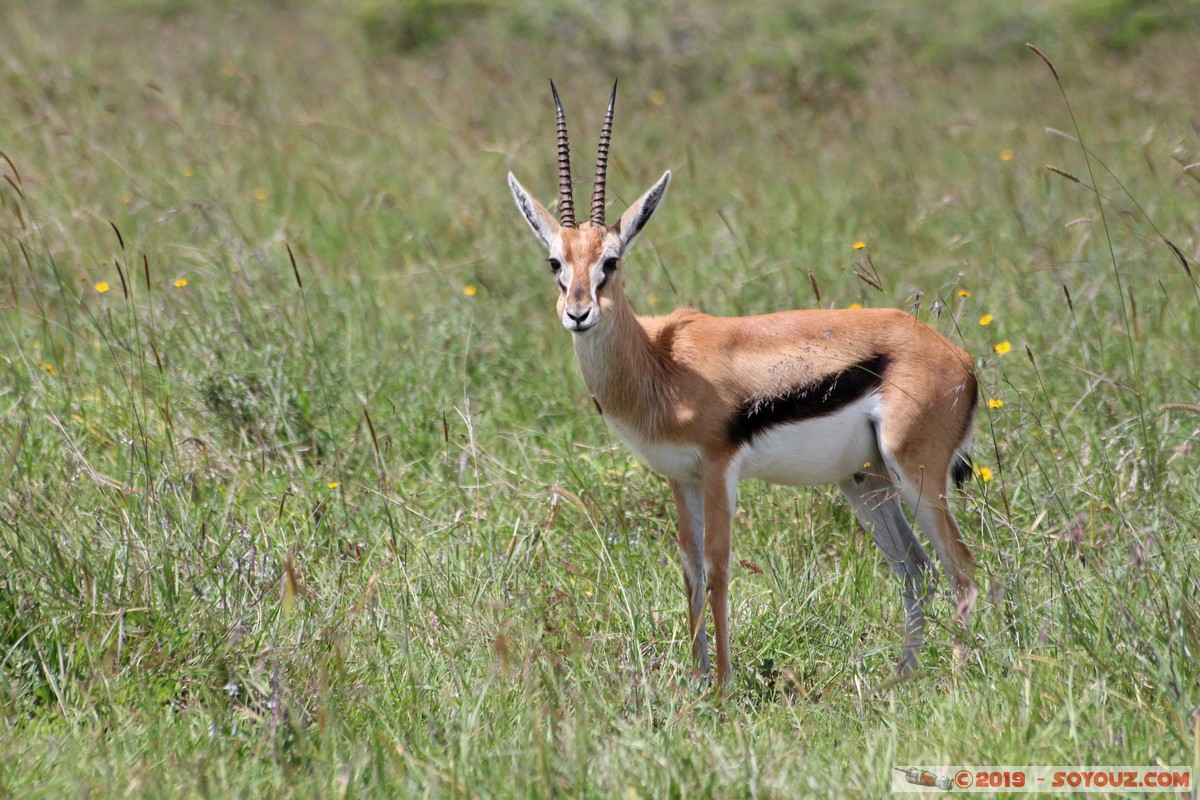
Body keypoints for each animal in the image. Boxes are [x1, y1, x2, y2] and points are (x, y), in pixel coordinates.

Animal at [507, 81, 980, 687]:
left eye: (610, 260)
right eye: (555, 262)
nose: (578, 313)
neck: (660, 361)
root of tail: (959, 358)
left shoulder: (718, 469)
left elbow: (718, 570)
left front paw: (724, 688)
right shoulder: (680, 477)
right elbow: (689, 570)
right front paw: (696, 681)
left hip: (916, 473)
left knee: (962, 570)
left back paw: (957, 679)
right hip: (864, 481)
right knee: (916, 568)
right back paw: (900, 681)